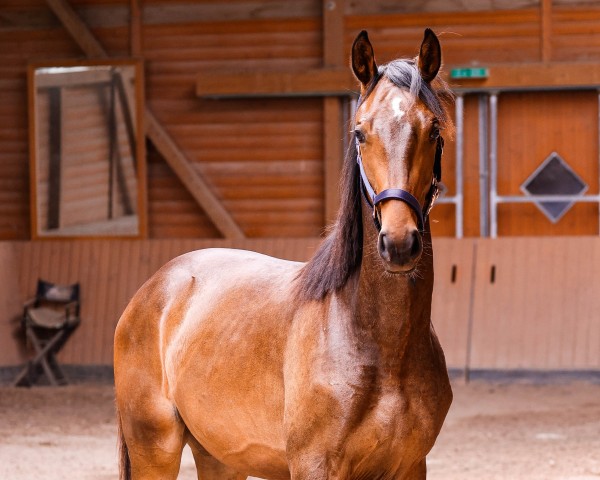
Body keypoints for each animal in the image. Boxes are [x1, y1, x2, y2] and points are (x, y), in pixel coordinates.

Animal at [113, 30, 450, 480]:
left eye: (433, 130)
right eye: (360, 132)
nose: (398, 243)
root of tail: (152, 290)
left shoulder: (411, 466)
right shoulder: (314, 466)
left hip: (220, 457)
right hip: (155, 450)